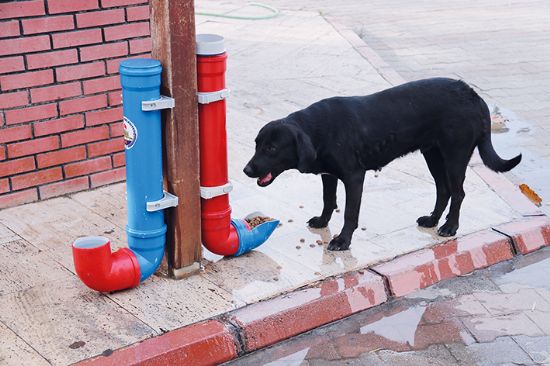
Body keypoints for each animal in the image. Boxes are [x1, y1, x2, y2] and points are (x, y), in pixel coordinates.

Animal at [244, 78, 524, 250]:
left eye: (271, 148)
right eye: (256, 144)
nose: (246, 170)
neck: (318, 130)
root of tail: (472, 94)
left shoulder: (354, 177)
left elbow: (349, 212)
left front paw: (342, 241)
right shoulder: (329, 175)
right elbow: (328, 201)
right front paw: (323, 222)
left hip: (455, 156)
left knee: (458, 192)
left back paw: (449, 226)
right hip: (432, 155)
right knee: (443, 190)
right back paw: (432, 220)